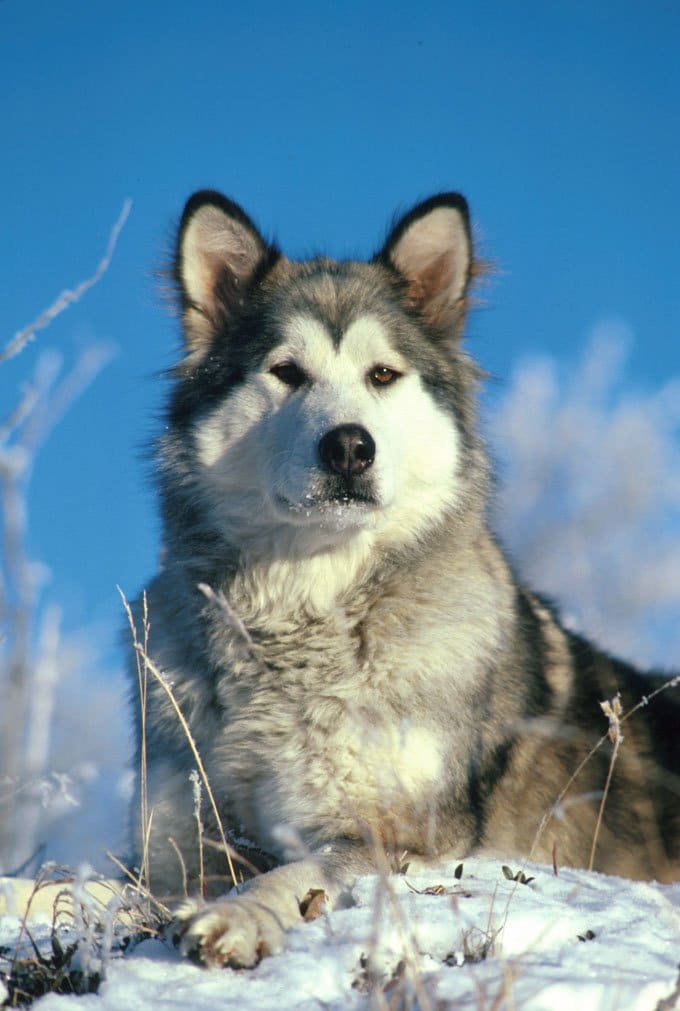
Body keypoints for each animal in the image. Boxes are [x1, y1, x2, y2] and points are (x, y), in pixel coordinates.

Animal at [128, 191, 678, 970]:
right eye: (285, 371)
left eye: (382, 375)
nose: (349, 447)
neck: (306, 618)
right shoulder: (170, 848)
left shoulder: (400, 834)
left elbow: (299, 868)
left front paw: (239, 915)